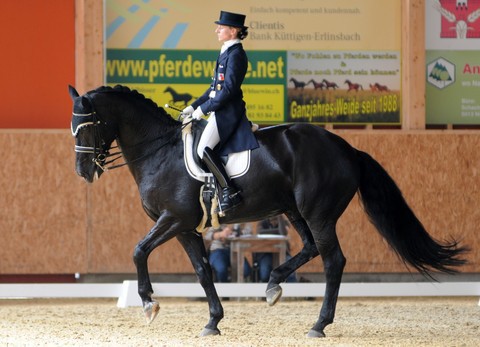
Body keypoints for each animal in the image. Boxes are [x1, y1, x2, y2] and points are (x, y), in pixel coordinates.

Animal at [69, 85, 466, 338]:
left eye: (89, 126)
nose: (83, 171)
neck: (160, 152)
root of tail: (348, 149)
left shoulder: (174, 219)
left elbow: (138, 251)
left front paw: (149, 304)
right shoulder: (186, 228)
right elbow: (203, 272)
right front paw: (213, 321)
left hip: (318, 213)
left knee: (333, 260)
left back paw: (318, 324)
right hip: (294, 211)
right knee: (310, 248)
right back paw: (274, 284)